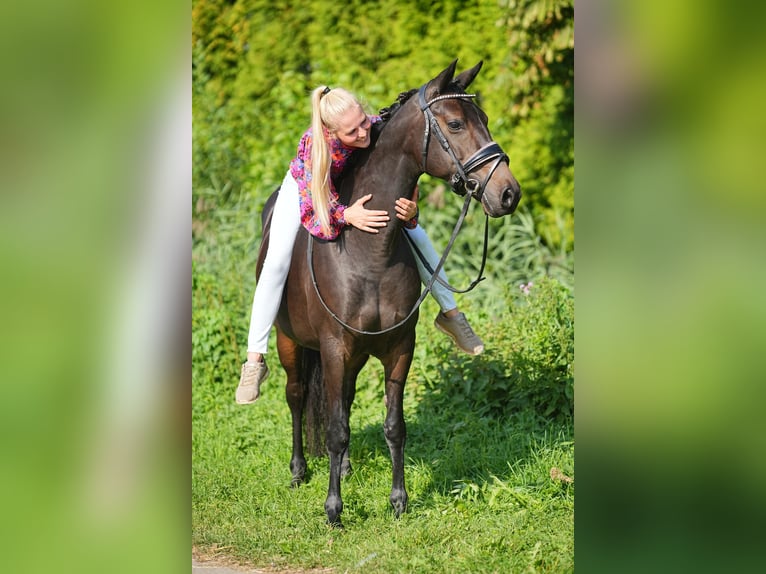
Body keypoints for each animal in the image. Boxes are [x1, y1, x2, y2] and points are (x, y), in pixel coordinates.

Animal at [258, 60, 520, 528]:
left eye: (486, 120)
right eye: (455, 124)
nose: (508, 193)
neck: (368, 253)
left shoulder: (399, 347)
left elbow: (393, 425)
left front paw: (399, 501)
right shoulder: (334, 346)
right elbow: (336, 429)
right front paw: (334, 510)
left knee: (342, 399)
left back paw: (341, 467)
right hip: (292, 342)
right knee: (297, 396)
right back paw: (299, 470)